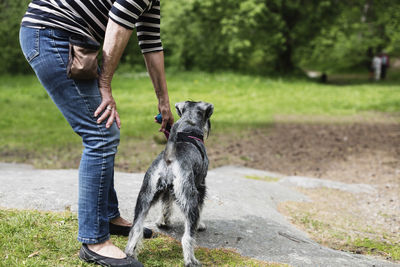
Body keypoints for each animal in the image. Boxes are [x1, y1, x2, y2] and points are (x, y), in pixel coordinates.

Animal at [125, 101, 214, 267]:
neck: (189, 128)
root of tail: (169, 156)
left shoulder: (166, 191)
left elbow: (166, 206)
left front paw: (163, 222)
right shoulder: (200, 185)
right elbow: (201, 207)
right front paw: (200, 224)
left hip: (145, 197)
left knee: (136, 229)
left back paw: (130, 255)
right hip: (189, 198)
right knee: (187, 236)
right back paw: (191, 260)